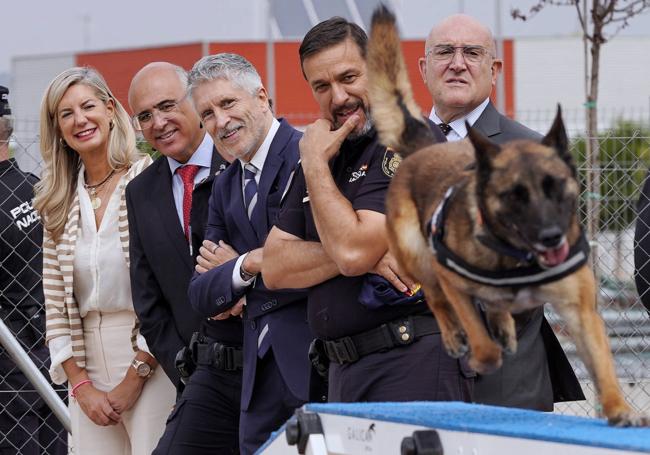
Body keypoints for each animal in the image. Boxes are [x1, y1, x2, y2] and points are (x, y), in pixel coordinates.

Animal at [368, 6, 644, 428]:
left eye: (555, 187)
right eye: (515, 196)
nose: (551, 237)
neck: (517, 258)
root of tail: (426, 149)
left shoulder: (581, 312)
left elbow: (603, 365)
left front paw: (617, 408)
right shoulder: (452, 279)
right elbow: (476, 335)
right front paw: (479, 354)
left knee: (492, 308)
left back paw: (503, 327)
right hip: (415, 253)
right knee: (435, 297)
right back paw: (457, 336)